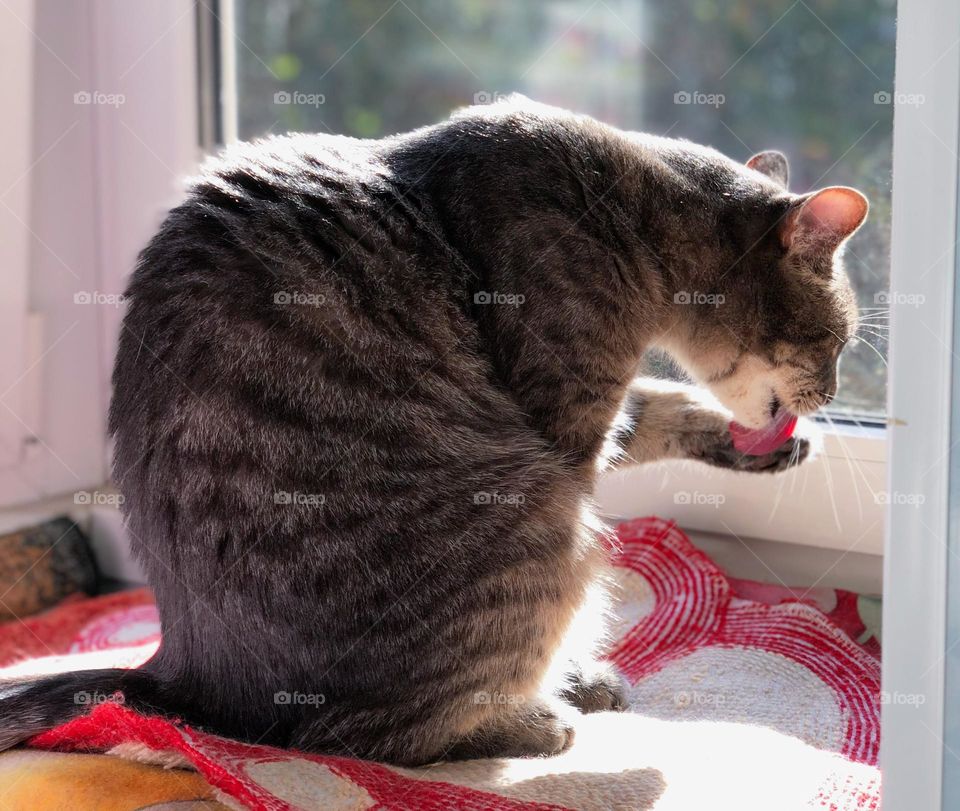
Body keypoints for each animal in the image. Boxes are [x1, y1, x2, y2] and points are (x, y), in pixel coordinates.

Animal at [0, 96, 868, 768]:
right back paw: (534, 719)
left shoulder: (598, 417)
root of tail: (185, 668)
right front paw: (566, 686)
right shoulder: (566, 430)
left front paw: (760, 446)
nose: (829, 394)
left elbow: (658, 406)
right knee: (366, 736)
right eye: (837, 342)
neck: (632, 209)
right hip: (539, 523)